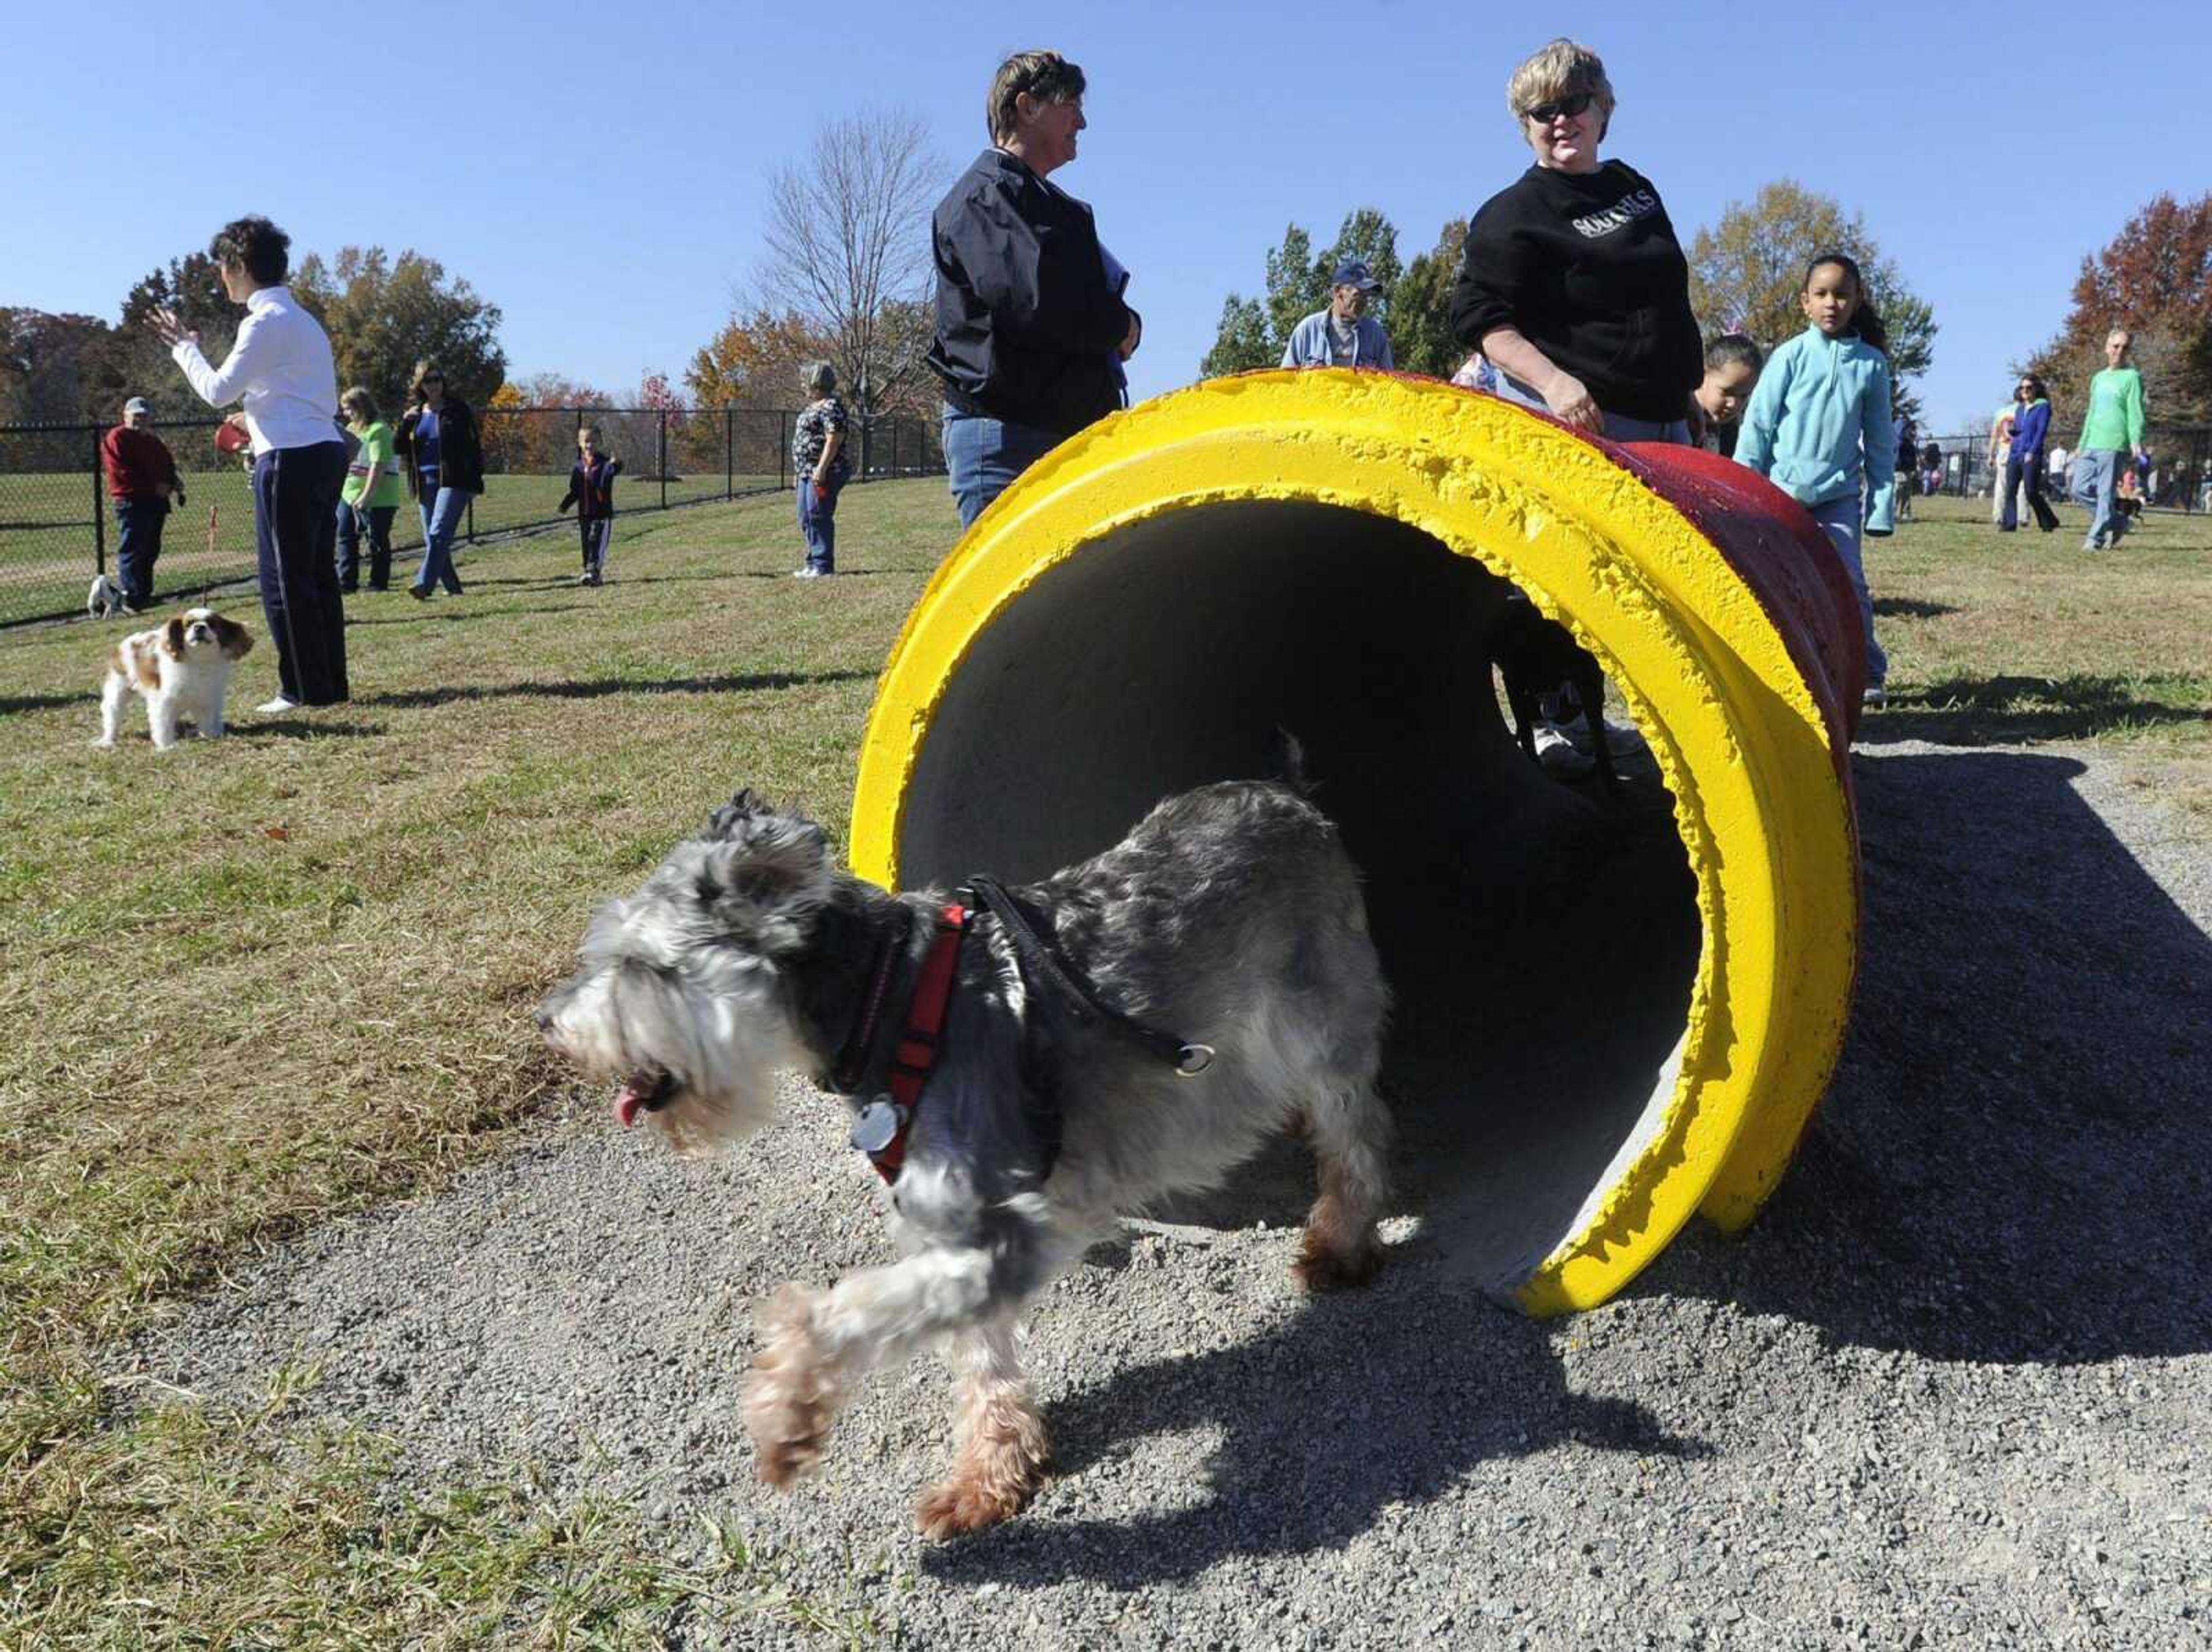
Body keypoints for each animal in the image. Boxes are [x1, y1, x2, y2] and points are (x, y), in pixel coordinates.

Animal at [96, 610, 254, 752]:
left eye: (212, 623)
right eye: (189, 624)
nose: (199, 627)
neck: (198, 660)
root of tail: (125, 644)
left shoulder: (206, 697)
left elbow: (207, 719)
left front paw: (210, 736)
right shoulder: (163, 701)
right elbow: (163, 724)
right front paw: (167, 746)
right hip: (118, 691)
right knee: (112, 714)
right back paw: (107, 740)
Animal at [537, 783, 1389, 1548]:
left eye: (641, 965)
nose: (548, 1023)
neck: (888, 997)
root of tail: (1289, 797)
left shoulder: (1003, 1227)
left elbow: (849, 1311)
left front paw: (786, 1414)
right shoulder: (948, 1228)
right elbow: (979, 1360)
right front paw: (991, 1475)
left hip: (1317, 1033)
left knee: (1357, 1131)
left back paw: (1342, 1243)